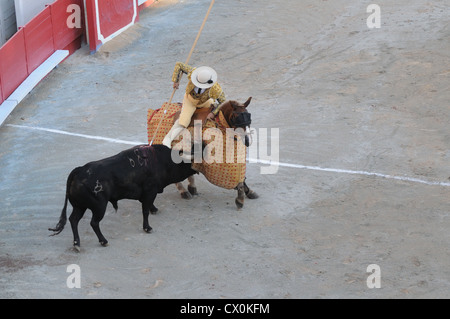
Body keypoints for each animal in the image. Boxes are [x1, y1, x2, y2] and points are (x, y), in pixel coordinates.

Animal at [49, 144, 195, 251]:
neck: (162, 160)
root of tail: (79, 170)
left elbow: (149, 206)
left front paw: (154, 210)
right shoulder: (150, 191)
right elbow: (145, 210)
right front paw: (147, 227)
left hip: (80, 206)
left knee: (73, 220)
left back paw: (77, 244)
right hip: (99, 207)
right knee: (94, 222)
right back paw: (103, 241)